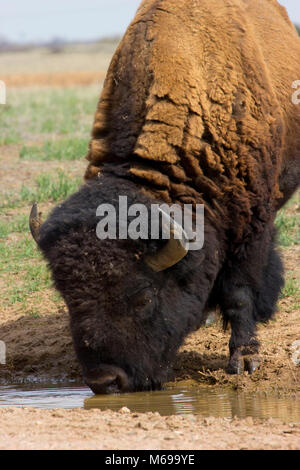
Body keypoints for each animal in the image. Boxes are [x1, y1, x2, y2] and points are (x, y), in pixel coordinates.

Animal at [29, 0, 298, 394]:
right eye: (66, 295)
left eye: (143, 297)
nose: (105, 380)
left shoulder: (251, 222)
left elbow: (239, 291)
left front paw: (245, 360)